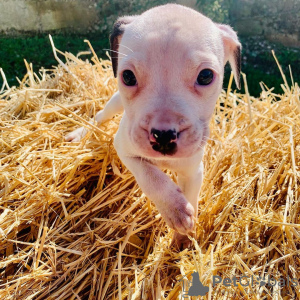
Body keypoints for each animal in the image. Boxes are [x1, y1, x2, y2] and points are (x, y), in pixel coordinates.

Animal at [65, 4, 241, 248]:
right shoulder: (125, 148)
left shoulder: (193, 171)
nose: (164, 136)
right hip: (115, 103)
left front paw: (183, 239)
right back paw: (80, 132)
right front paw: (175, 209)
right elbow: (150, 176)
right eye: (128, 77)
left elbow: (191, 199)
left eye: (206, 76)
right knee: (100, 116)